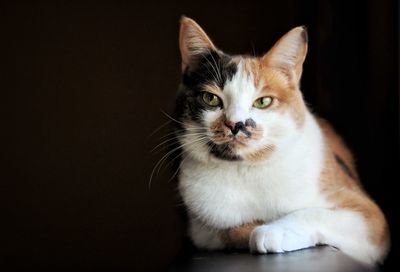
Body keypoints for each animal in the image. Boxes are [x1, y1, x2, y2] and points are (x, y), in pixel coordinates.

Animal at [173, 15, 390, 264]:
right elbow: (228, 230)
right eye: (210, 98)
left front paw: (273, 231)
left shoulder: (369, 216)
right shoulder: (202, 229)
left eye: (263, 101)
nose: (236, 124)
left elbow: (313, 212)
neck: (247, 170)